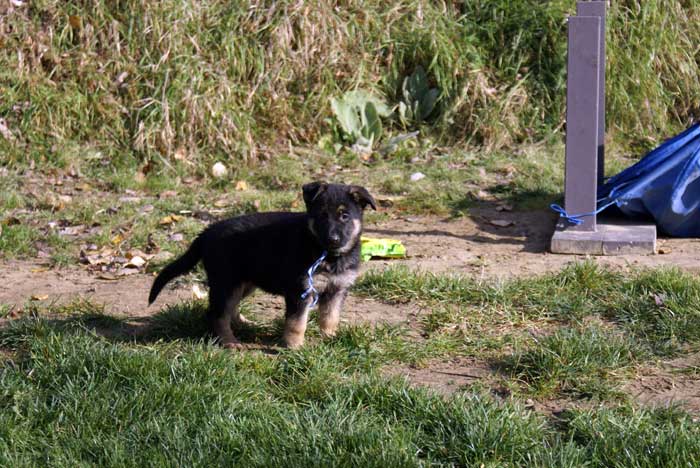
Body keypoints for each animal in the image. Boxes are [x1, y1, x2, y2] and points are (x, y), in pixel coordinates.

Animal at [148, 181, 378, 350]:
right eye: (322, 216)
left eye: (344, 216)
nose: (333, 239)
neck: (328, 255)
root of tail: (206, 233)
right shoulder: (300, 291)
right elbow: (296, 323)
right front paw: (294, 347)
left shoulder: (337, 289)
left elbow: (331, 317)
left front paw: (330, 338)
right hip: (226, 282)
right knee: (217, 314)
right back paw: (229, 341)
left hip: (243, 283)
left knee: (230, 309)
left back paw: (244, 324)